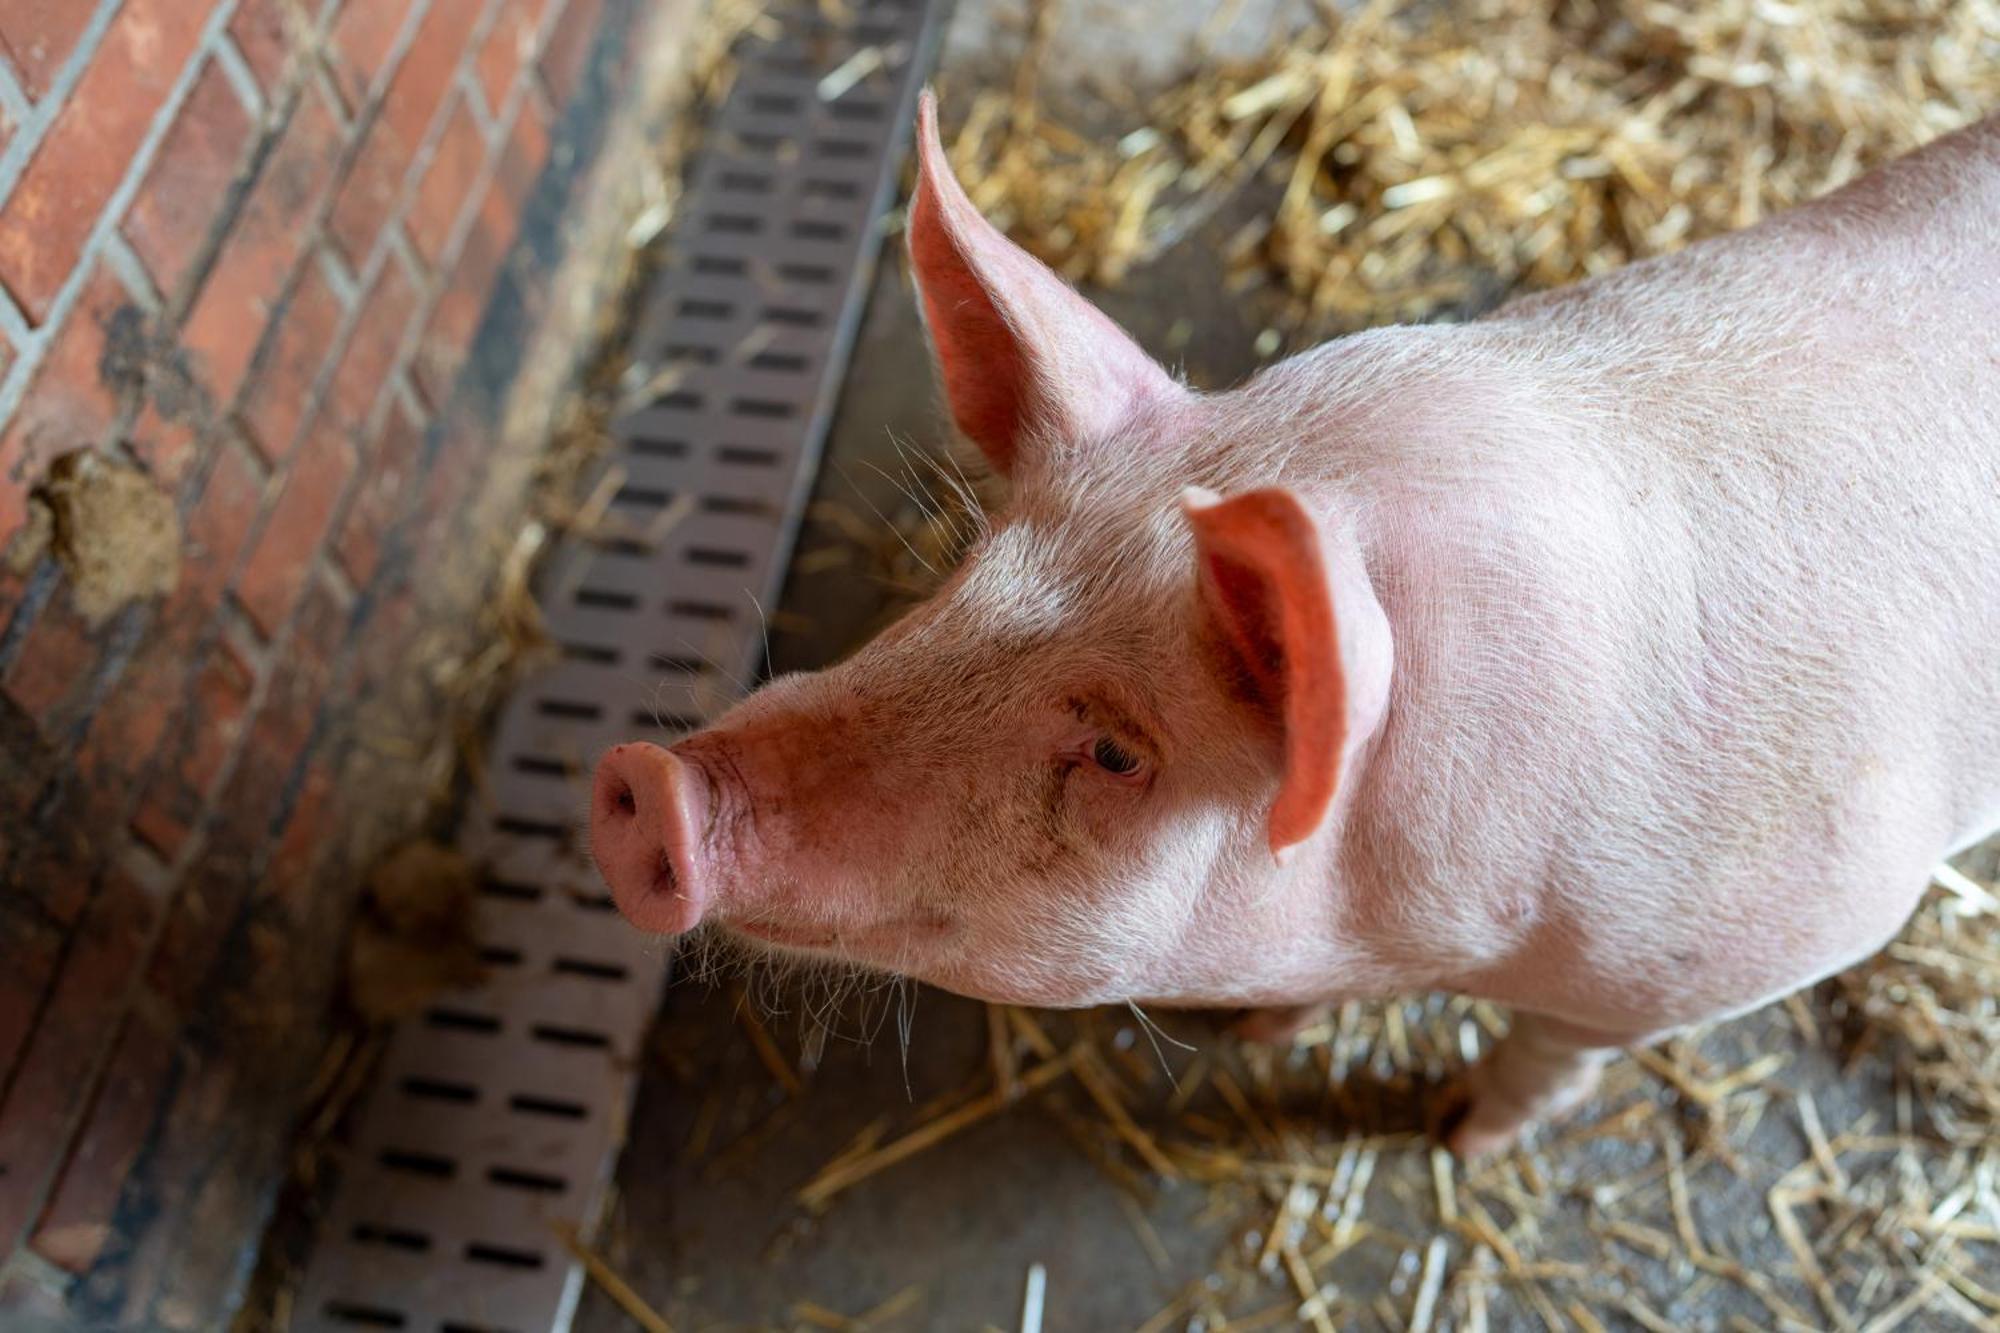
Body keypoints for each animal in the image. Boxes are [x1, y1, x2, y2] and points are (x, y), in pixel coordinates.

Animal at [588, 96, 2000, 1152]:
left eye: (1117, 750)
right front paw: (1254, 1035)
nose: (648, 782)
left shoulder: (1743, 947)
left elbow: (1548, 1057)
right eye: (966, 571)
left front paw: (1459, 1138)